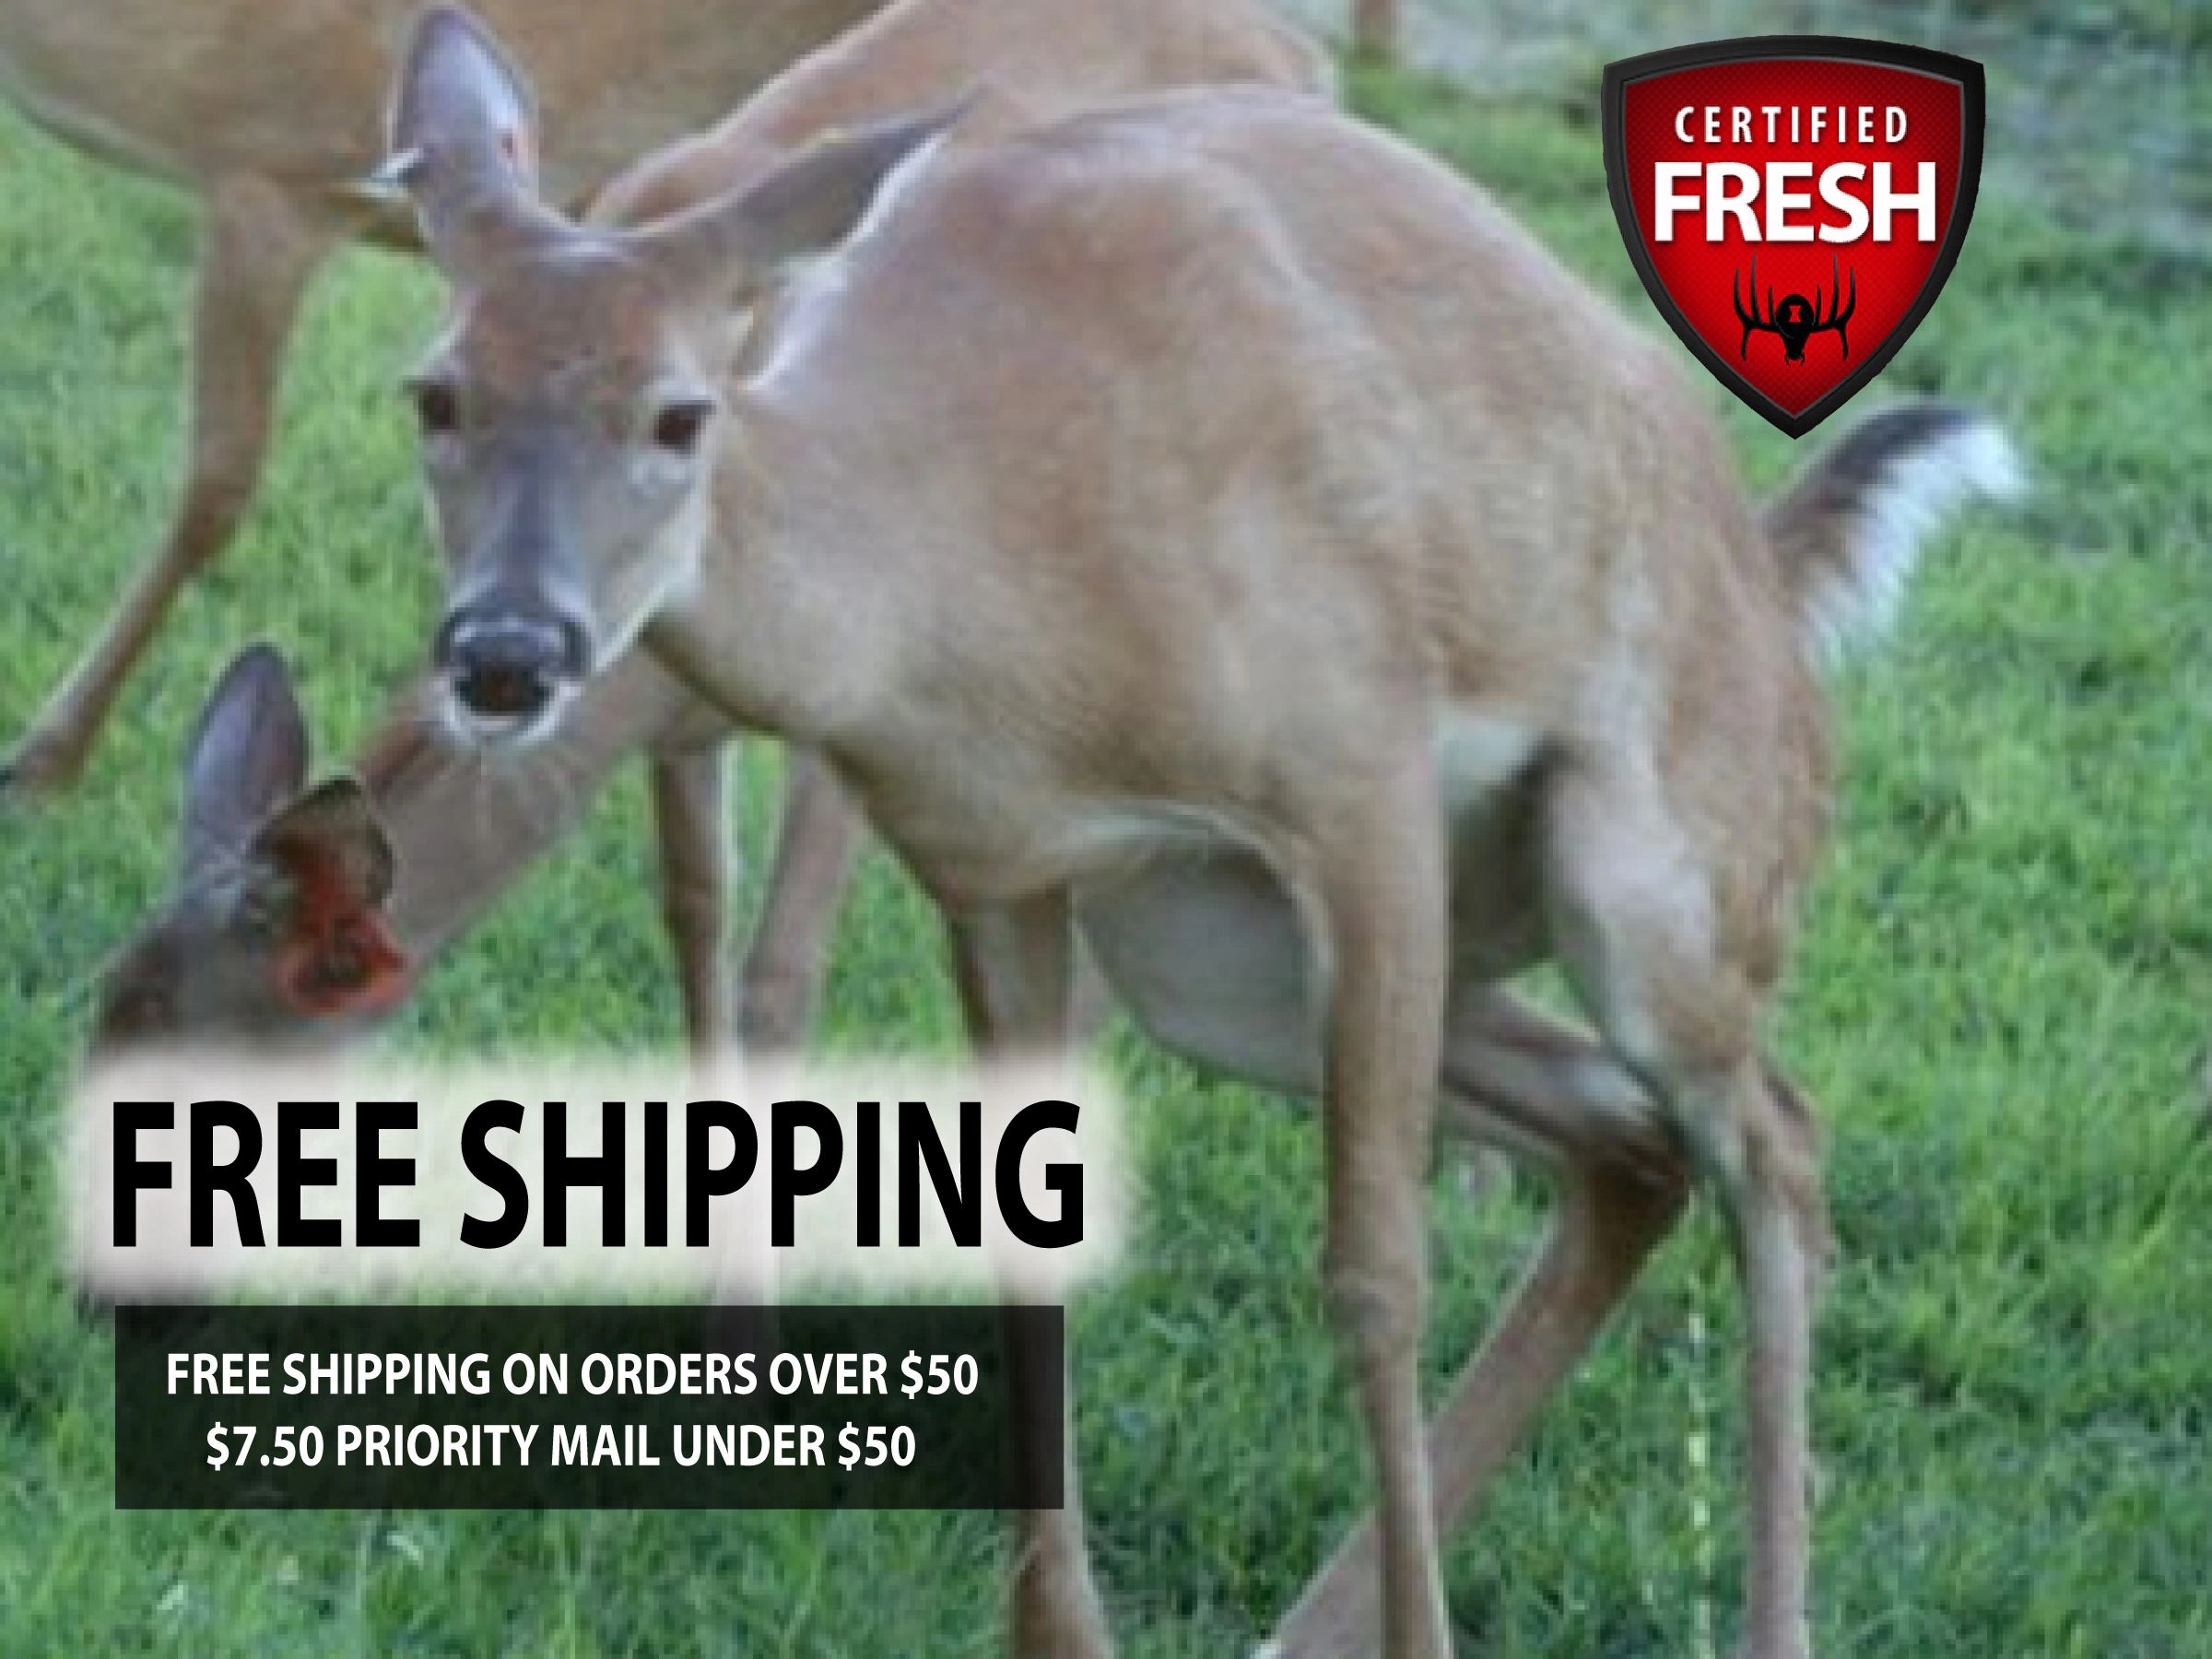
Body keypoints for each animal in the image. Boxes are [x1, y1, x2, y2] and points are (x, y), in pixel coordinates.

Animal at [45, 0, 1332, 1059]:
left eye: (195, 1048)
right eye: (107, 999)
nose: (504, 654)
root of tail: (1301, 50)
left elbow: (781, 978)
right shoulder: (675, 721)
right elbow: (695, 918)